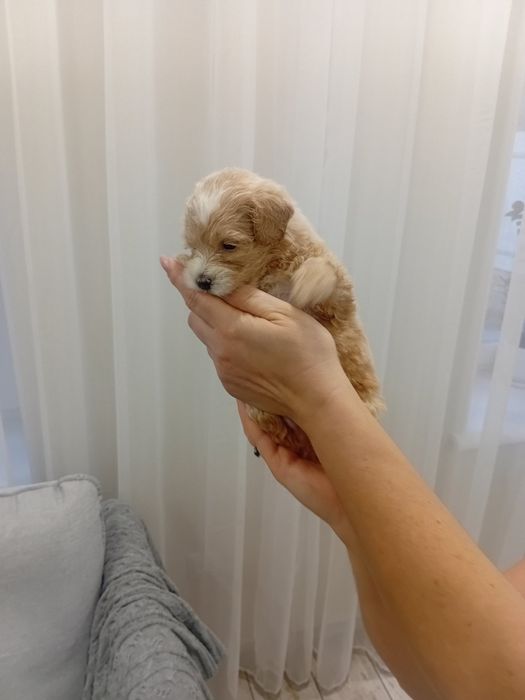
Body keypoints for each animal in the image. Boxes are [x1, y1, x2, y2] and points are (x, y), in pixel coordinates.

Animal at [179, 168, 384, 460]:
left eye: (229, 245)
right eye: (192, 248)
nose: (201, 282)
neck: (269, 265)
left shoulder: (339, 295)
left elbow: (321, 268)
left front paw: (307, 283)